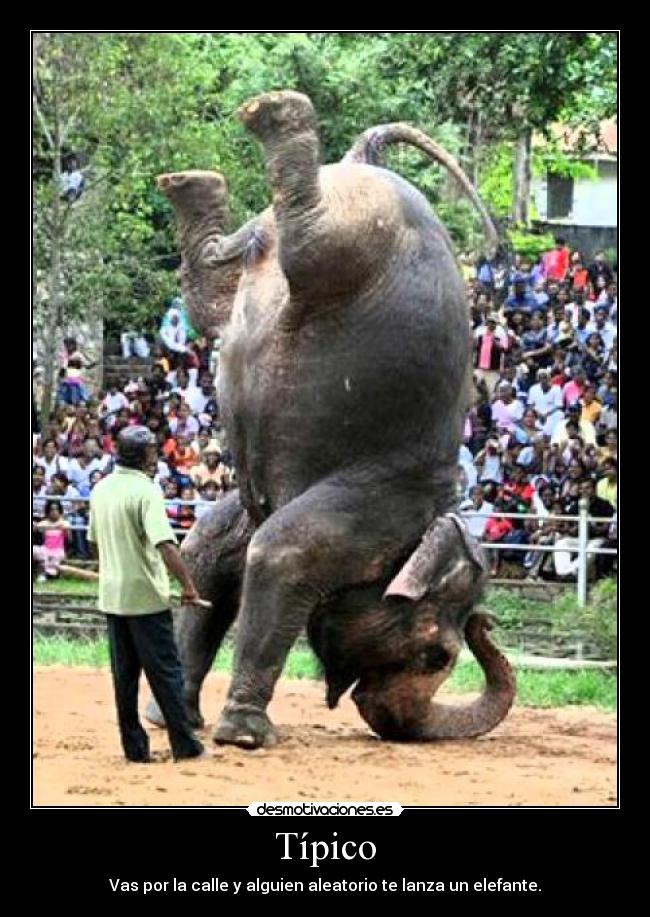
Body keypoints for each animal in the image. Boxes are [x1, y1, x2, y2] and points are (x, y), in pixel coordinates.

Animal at [146, 89, 515, 748]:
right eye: (438, 655)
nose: (488, 624)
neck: (435, 512)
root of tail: (363, 160)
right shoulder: (373, 508)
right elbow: (279, 554)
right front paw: (246, 736)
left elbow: (211, 552)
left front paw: (175, 721)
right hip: (359, 236)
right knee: (305, 240)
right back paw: (276, 114)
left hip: (308, 243)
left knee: (219, 281)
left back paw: (195, 180)